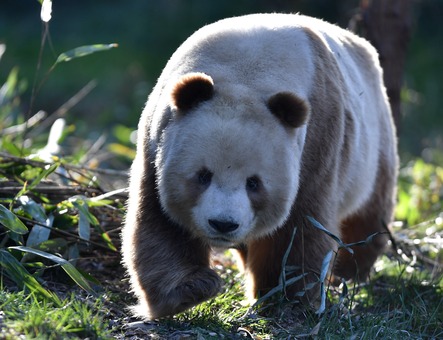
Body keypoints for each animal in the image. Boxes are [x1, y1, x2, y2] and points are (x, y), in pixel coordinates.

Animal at [120, 12, 398, 318]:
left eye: (254, 183)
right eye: (203, 176)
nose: (223, 224)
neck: (247, 72)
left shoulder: (318, 137)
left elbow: (299, 226)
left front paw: (283, 296)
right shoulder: (158, 140)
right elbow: (160, 222)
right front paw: (189, 289)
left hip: (375, 141)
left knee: (369, 214)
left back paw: (349, 272)